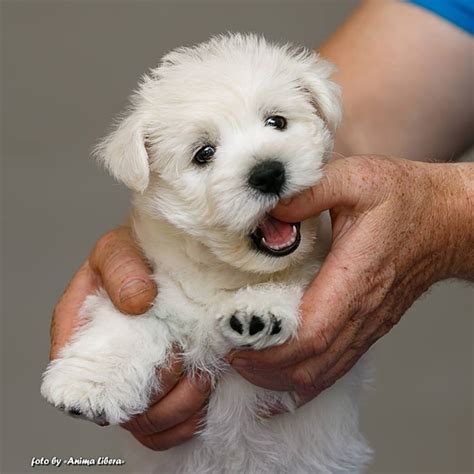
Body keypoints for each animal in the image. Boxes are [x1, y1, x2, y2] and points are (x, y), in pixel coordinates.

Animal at [41, 34, 370, 474]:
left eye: (276, 122)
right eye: (204, 153)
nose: (269, 172)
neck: (224, 272)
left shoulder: (310, 266)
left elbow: (291, 280)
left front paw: (257, 312)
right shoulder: (154, 287)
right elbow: (127, 325)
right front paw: (86, 385)